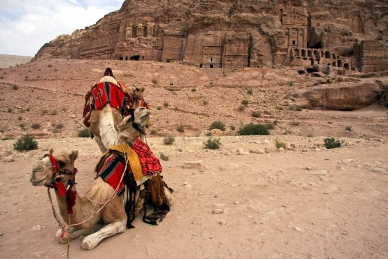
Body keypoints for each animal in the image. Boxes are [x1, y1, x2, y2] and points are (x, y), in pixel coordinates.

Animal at [31, 106, 174, 251]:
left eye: (62, 162)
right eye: (45, 156)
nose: (35, 171)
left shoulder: (121, 221)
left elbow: (87, 242)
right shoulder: (93, 218)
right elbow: (63, 234)